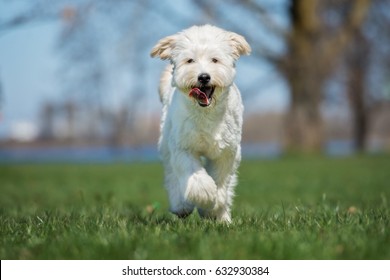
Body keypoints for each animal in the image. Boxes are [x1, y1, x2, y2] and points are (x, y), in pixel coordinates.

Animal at [149, 24, 250, 223]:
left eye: (215, 60)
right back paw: (181, 206)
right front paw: (205, 194)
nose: (203, 77)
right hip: (166, 144)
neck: (205, 113)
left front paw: (214, 206)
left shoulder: (227, 151)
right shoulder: (183, 147)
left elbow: (221, 178)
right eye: (190, 60)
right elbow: (193, 174)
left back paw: (223, 218)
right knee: (172, 176)